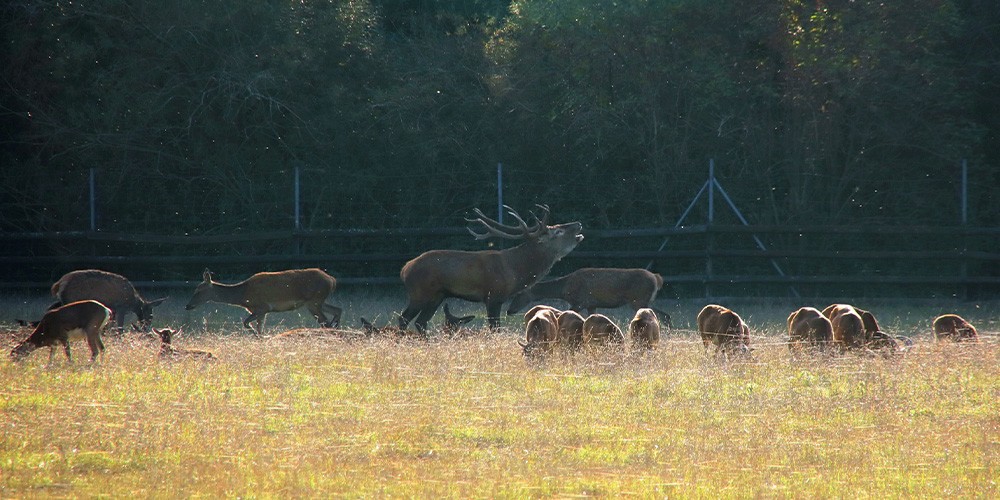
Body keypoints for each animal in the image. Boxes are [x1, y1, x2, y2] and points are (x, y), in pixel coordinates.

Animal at [185, 268, 344, 334]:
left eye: (198, 290)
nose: (188, 306)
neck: (243, 297)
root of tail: (332, 280)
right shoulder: (261, 312)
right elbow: (259, 327)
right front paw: (261, 338)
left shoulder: (262, 307)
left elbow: (246, 323)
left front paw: (258, 336)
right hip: (317, 301)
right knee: (338, 310)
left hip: (314, 301)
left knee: (326, 323)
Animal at [398, 205, 584, 334]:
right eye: (558, 231)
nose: (578, 224)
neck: (515, 270)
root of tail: (404, 269)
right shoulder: (493, 296)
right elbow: (495, 329)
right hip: (419, 293)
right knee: (404, 318)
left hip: (437, 296)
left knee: (421, 322)